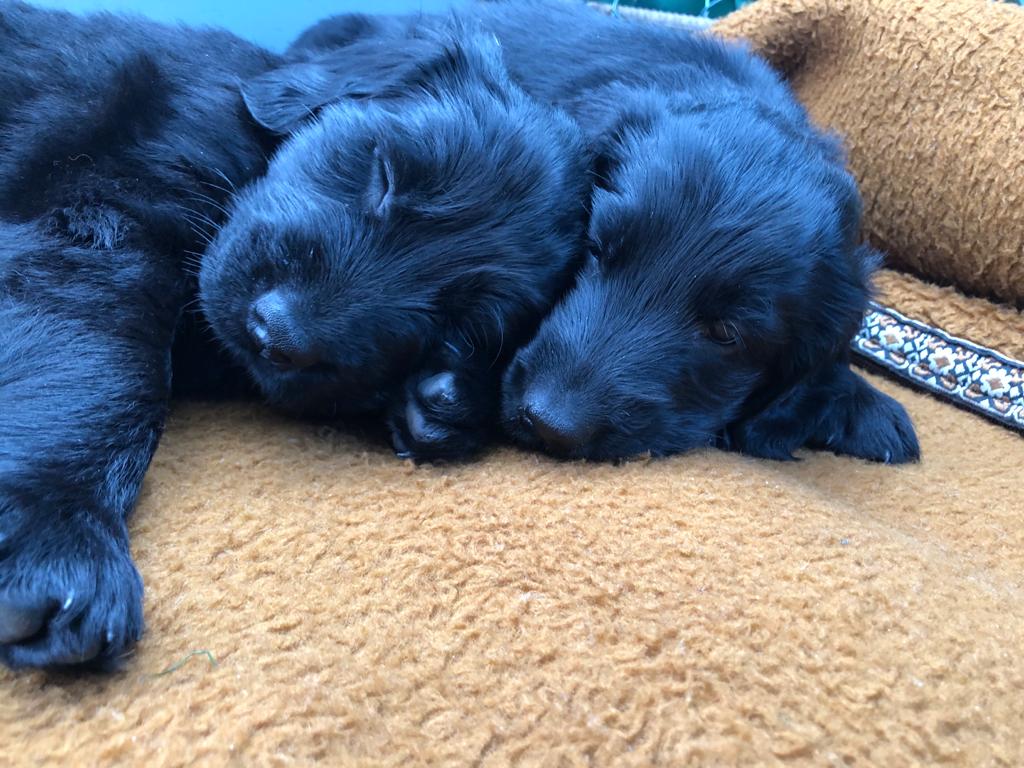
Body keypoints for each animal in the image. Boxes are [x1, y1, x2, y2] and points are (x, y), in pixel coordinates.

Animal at [0, 2, 588, 669]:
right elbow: (108, 371)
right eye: (385, 173)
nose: (275, 331)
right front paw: (60, 537)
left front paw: (445, 400)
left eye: (457, 322)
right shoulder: (101, 225)